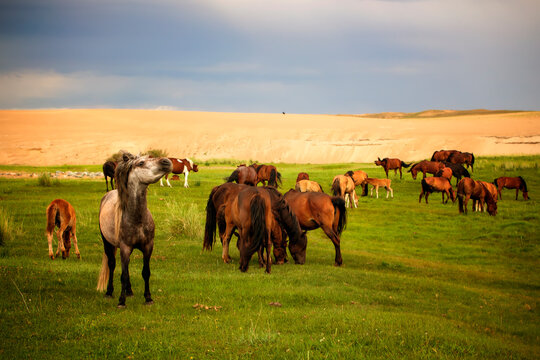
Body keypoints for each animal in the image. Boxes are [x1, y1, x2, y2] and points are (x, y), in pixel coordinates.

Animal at [97, 153, 172, 308]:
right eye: (141, 162)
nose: (167, 161)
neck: (136, 218)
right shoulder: (125, 248)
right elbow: (123, 275)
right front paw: (121, 301)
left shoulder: (148, 247)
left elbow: (145, 272)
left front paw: (148, 298)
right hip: (108, 243)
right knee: (112, 264)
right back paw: (109, 292)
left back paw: (129, 291)